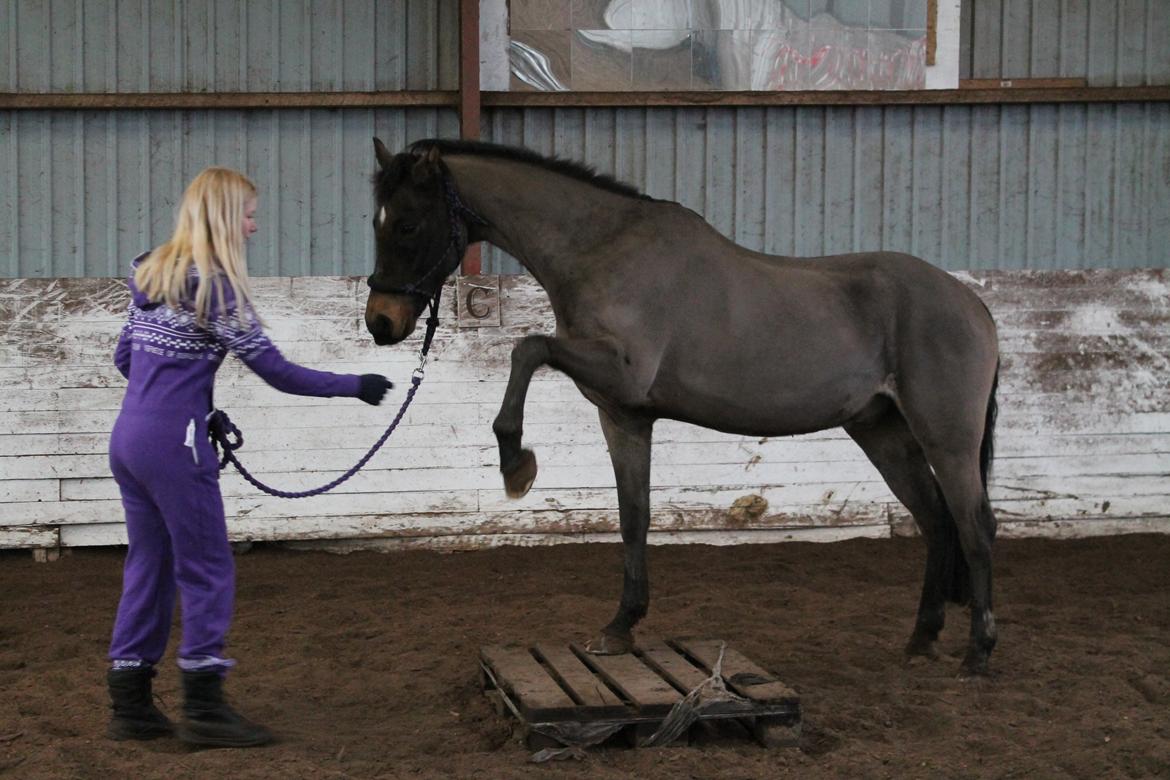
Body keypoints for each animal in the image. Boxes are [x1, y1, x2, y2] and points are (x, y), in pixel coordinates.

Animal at [367, 138, 1006, 678]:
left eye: (408, 222)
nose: (380, 323)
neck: (603, 250)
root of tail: (971, 302)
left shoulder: (619, 368)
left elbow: (527, 349)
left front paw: (515, 464)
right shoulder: (623, 415)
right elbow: (634, 517)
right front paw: (620, 627)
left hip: (946, 437)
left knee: (975, 526)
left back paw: (978, 653)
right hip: (883, 433)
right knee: (935, 520)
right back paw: (921, 639)